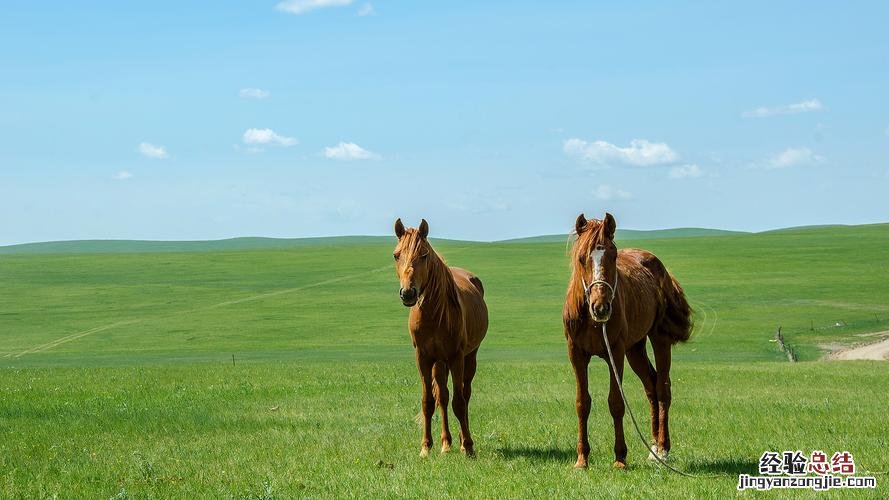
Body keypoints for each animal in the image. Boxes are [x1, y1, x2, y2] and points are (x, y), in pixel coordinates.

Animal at [394, 218, 490, 458]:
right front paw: (425, 447)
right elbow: (429, 401)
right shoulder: (423, 358)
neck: (434, 314)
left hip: (469, 358)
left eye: (424, 255)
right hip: (439, 362)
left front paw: (468, 447)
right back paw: (446, 443)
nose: (408, 293)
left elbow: (459, 402)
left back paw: (463, 441)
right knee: (443, 397)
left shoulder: (456, 357)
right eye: (396, 255)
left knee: (464, 394)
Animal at [560, 211, 692, 468]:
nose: (601, 307)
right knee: (650, 386)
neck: (591, 319)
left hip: (658, 339)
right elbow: (582, 403)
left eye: (613, 256)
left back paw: (663, 450)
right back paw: (653, 448)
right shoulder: (576, 354)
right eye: (581, 258)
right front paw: (582, 459)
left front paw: (620, 458)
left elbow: (616, 403)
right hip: (635, 349)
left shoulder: (615, 352)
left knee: (662, 388)